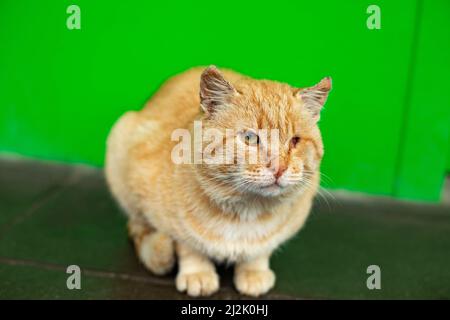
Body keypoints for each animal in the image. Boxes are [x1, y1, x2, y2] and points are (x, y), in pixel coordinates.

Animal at [104, 65, 330, 298]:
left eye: (295, 141)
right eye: (250, 138)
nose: (279, 168)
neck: (246, 212)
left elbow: (260, 251)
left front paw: (253, 271)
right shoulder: (168, 217)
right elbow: (188, 246)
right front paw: (197, 273)